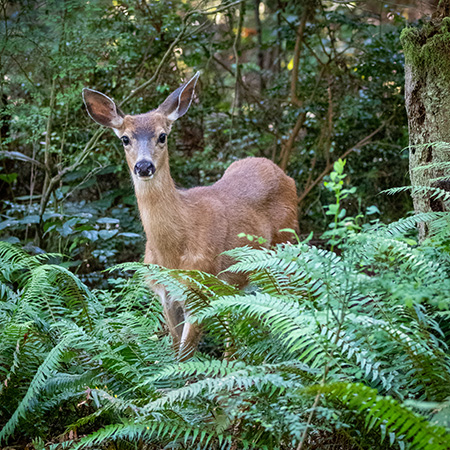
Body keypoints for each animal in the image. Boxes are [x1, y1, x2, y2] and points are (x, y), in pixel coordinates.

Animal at [83, 72, 298, 360]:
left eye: (162, 136)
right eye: (125, 139)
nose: (144, 166)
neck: (173, 250)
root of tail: (283, 173)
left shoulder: (199, 285)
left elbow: (184, 358)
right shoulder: (166, 294)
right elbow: (176, 350)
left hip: (287, 246)